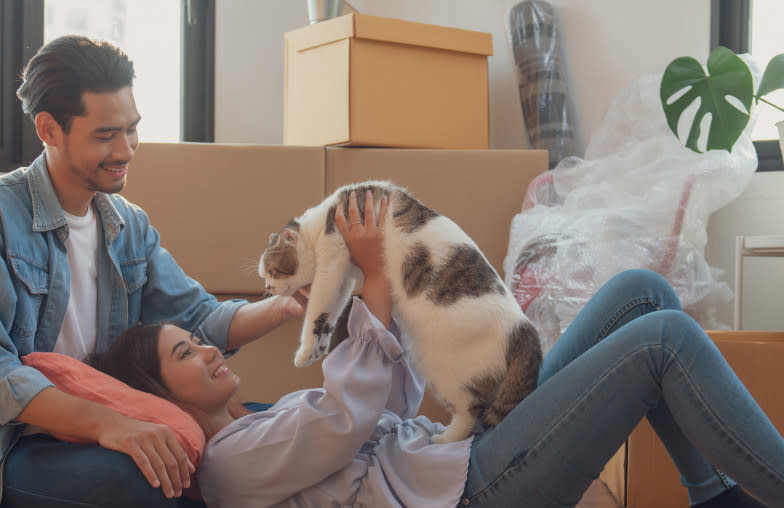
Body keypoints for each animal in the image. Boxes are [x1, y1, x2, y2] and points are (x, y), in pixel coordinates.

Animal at [260, 181, 544, 442]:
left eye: (273, 271)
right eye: (266, 275)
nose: (267, 287)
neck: (321, 221)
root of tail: (524, 328)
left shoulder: (332, 264)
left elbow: (317, 311)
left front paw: (304, 350)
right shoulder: (345, 279)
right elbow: (330, 314)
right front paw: (318, 348)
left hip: (448, 374)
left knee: (470, 413)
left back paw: (444, 439)